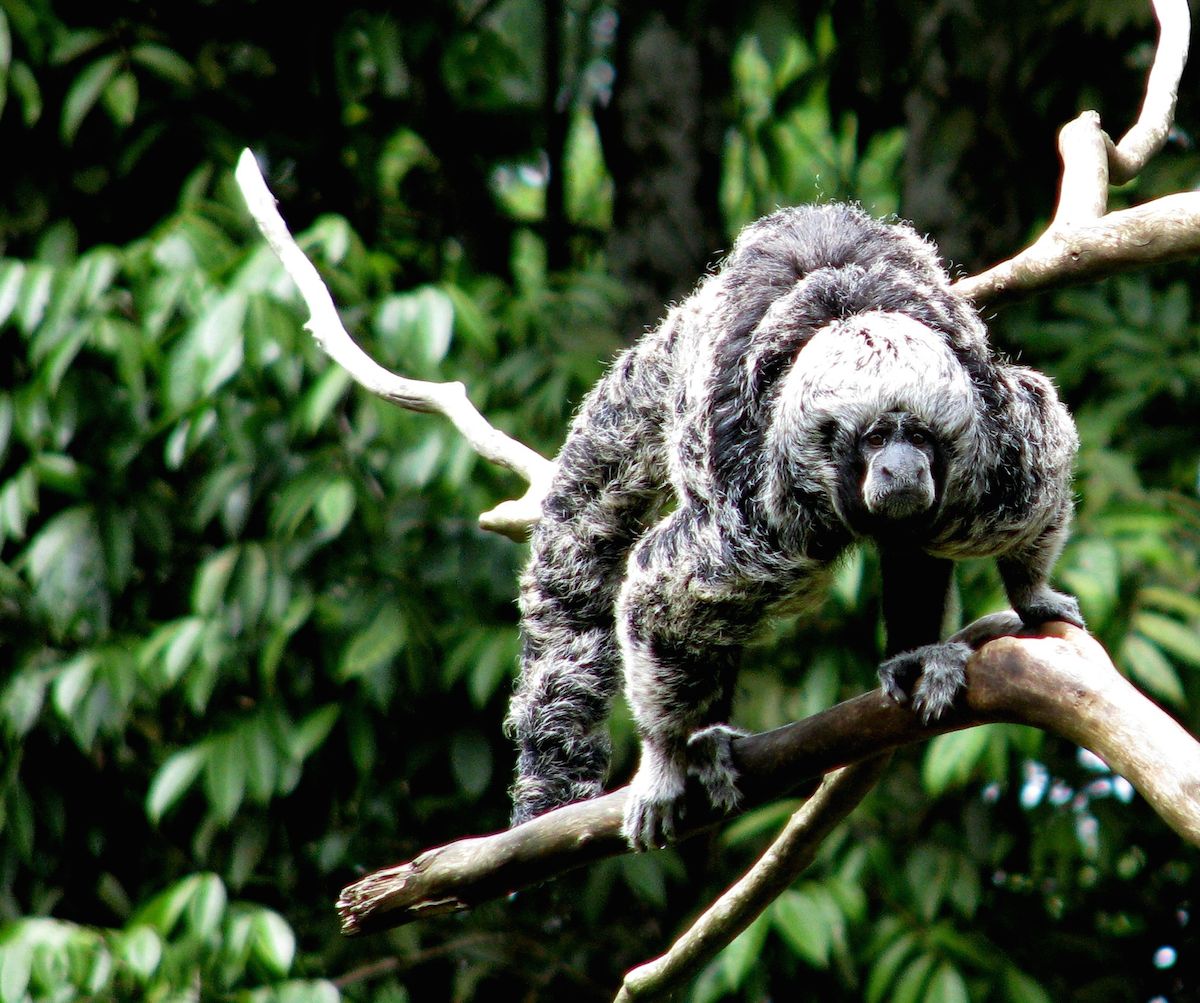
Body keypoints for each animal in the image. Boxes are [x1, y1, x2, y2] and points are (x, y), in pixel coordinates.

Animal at [504, 203, 1082, 851]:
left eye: (918, 437)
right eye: (875, 439)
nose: (902, 467)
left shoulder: (989, 469)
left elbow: (1045, 452)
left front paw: (1031, 592)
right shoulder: (763, 525)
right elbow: (664, 593)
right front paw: (666, 755)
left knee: (912, 545)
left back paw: (917, 654)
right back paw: (705, 742)